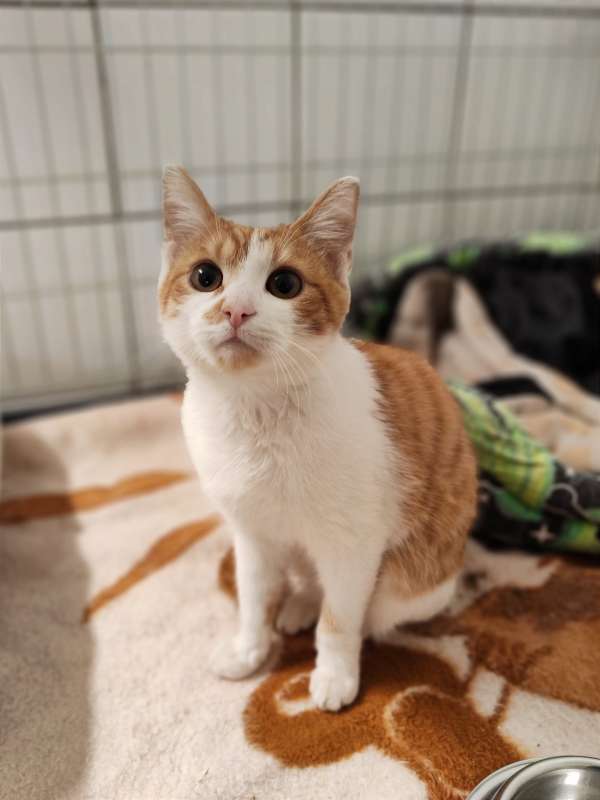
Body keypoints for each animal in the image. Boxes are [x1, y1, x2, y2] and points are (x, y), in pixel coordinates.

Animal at [159, 166, 478, 711]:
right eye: (206, 277)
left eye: (284, 284)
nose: (236, 311)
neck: (257, 414)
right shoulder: (251, 532)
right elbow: (253, 596)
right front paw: (249, 649)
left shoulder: (354, 545)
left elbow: (342, 617)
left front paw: (334, 673)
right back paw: (300, 603)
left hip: (417, 579)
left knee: (379, 607)